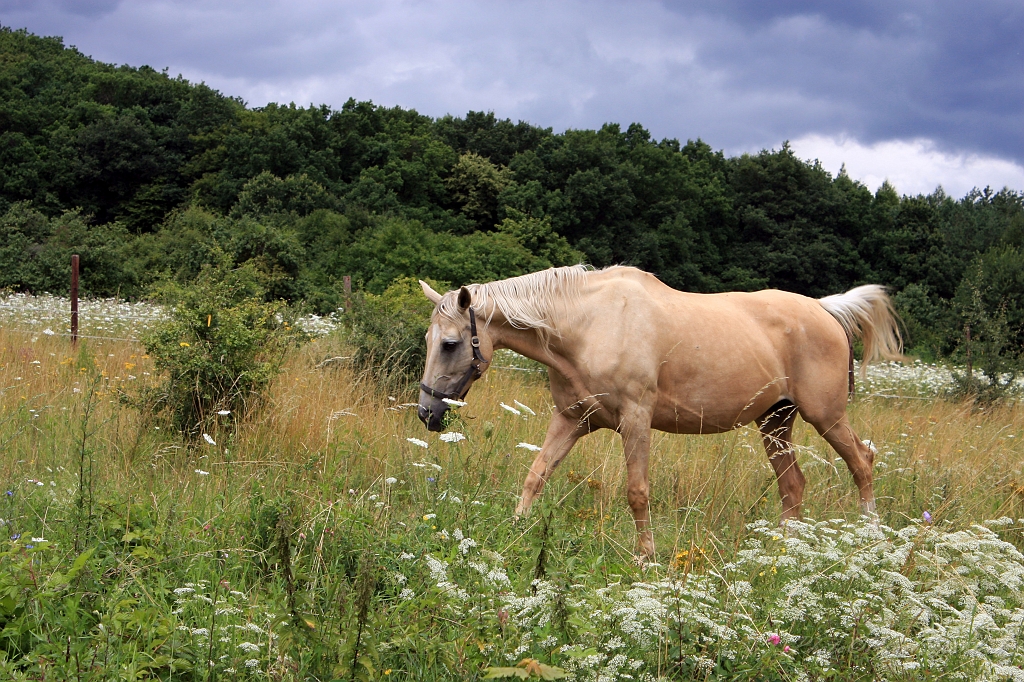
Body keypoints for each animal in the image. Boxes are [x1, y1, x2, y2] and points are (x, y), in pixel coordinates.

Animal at [415, 262, 905, 557]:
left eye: (450, 343)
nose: (427, 412)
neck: (589, 325)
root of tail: (825, 310)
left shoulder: (636, 421)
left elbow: (637, 492)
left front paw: (645, 558)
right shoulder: (571, 420)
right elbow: (536, 475)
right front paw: (514, 534)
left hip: (826, 417)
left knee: (863, 462)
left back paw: (872, 537)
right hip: (775, 422)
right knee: (794, 485)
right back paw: (781, 552)